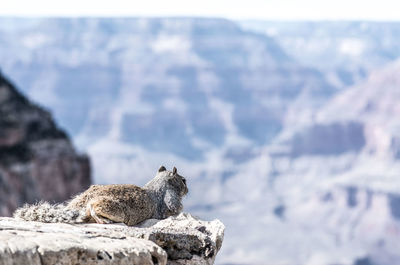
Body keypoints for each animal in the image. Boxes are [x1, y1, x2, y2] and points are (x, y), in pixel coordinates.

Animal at [12, 165, 188, 225]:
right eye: (184, 180)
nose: (187, 190)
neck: (157, 183)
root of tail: (78, 205)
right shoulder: (170, 201)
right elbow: (174, 208)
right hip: (116, 210)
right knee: (93, 209)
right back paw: (104, 220)